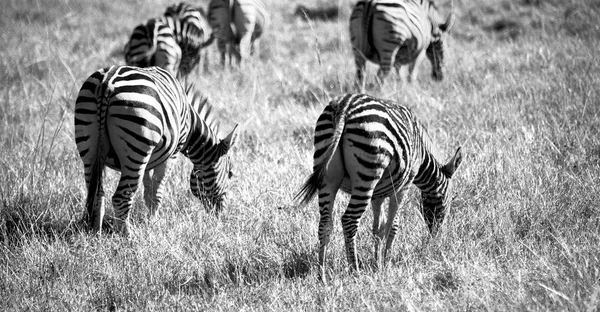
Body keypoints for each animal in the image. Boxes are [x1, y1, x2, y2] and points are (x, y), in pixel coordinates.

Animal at [72, 66, 237, 236]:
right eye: (230, 174)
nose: (221, 215)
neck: (190, 124)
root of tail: (107, 83)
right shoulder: (172, 153)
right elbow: (157, 192)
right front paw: (154, 223)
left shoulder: (149, 158)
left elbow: (148, 192)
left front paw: (150, 220)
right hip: (136, 149)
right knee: (121, 198)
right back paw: (128, 237)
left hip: (89, 148)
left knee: (97, 195)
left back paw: (95, 234)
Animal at [296, 93, 464, 272]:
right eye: (448, 201)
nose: (436, 239)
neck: (422, 156)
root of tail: (345, 106)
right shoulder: (403, 186)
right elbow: (392, 225)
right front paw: (386, 262)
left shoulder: (378, 194)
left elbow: (378, 228)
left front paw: (377, 262)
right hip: (367, 172)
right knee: (349, 221)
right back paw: (355, 269)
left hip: (328, 176)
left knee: (325, 223)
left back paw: (321, 272)